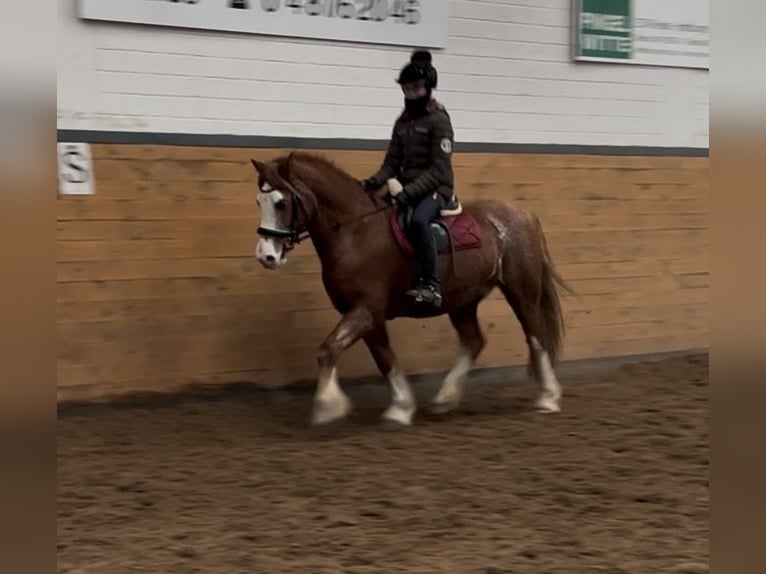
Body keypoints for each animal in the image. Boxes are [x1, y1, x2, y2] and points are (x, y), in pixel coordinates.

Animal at [250, 151, 573, 428]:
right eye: (259, 201)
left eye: (281, 202)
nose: (267, 256)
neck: (356, 234)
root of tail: (523, 214)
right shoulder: (369, 315)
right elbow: (384, 359)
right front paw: (400, 408)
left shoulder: (366, 310)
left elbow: (329, 350)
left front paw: (328, 407)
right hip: (462, 301)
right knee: (474, 341)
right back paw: (444, 399)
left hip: (521, 291)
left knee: (535, 336)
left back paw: (547, 398)